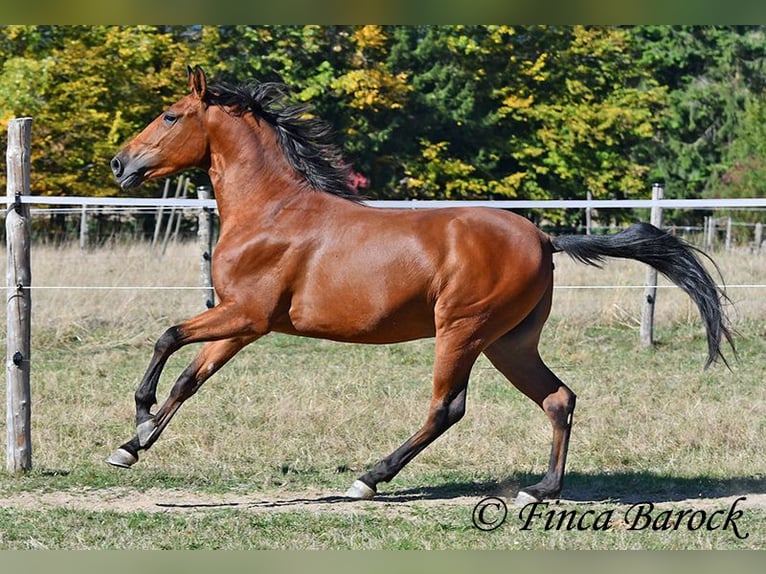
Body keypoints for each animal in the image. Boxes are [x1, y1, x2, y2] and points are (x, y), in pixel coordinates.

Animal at [107, 65, 734, 504]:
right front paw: (133, 445)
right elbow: (189, 378)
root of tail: (545, 238)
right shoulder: (240, 323)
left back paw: (370, 478)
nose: (119, 164)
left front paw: (139, 419)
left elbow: (167, 337)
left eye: (170, 115)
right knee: (559, 398)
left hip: (461, 330)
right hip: (509, 342)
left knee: (447, 407)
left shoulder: (248, 315)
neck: (271, 211)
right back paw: (540, 490)